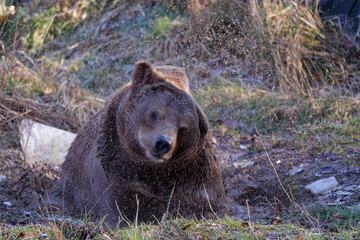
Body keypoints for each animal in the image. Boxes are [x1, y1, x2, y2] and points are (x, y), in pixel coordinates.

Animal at [48, 61, 228, 226]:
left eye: (183, 128)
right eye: (154, 113)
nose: (163, 143)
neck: (150, 171)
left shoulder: (195, 176)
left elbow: (207, 205)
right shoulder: (114, 173)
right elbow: (117, 208)